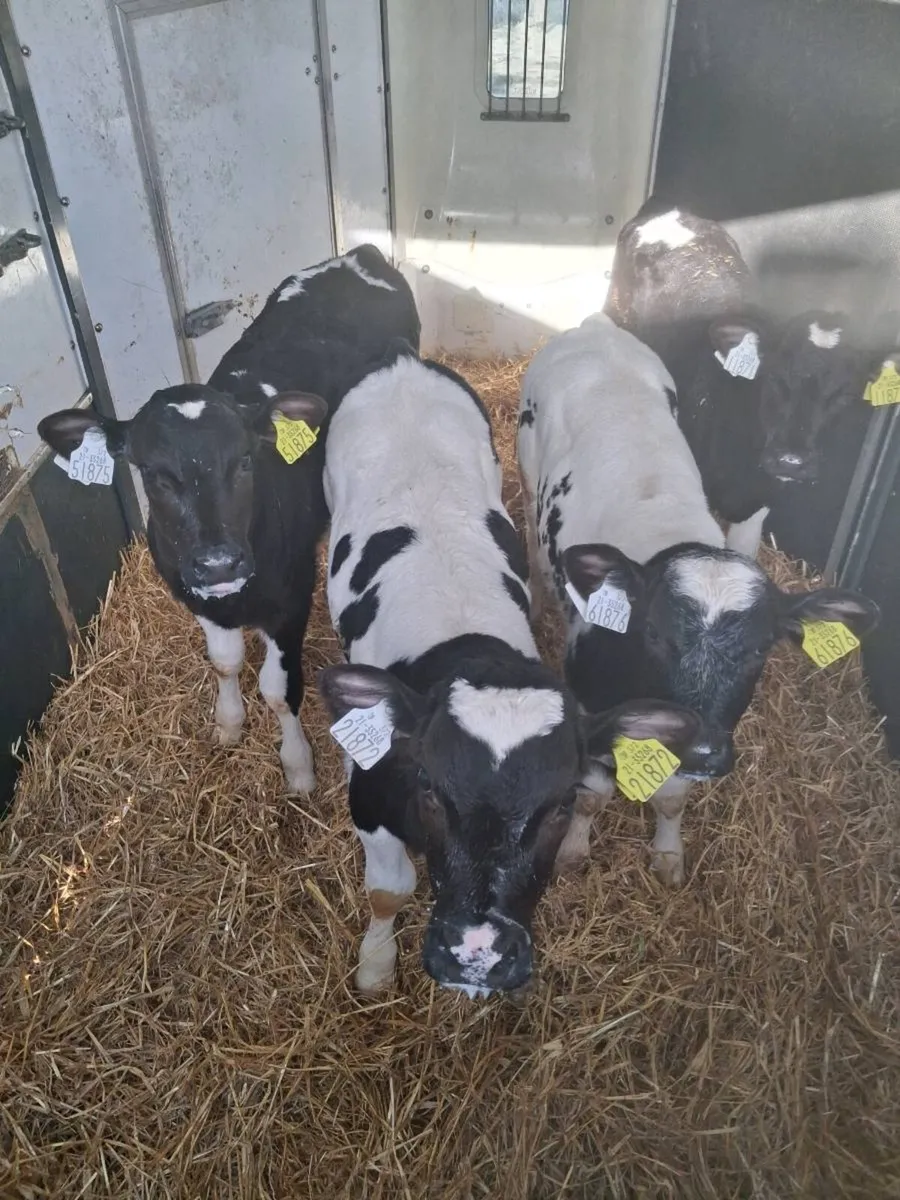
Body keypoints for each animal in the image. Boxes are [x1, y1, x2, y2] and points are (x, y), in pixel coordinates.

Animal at [38, 245, 420, 794]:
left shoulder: (290, 600)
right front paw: (229, 722)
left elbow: (279, 690)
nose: (219, 562)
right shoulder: (195, 593)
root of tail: (357, 253)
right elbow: (224, 662)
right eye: (152, 474)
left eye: (245, 461)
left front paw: (298, 765)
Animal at [317, 340, 704, 997]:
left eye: (563, 803)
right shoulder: (366, 785)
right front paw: (375, 965)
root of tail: (402, 361)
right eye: (430, 786)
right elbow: (388, 891)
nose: (478, 951)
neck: (463, 641)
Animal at [517, 312, 879, 886]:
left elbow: (671, 799)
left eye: (761, 648)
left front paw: (668, 855)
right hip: (528, 465)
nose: (707, 751)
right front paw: (573, 851)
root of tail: (597, 327)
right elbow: (592, 795)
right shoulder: (588, 703)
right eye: (654, 636)